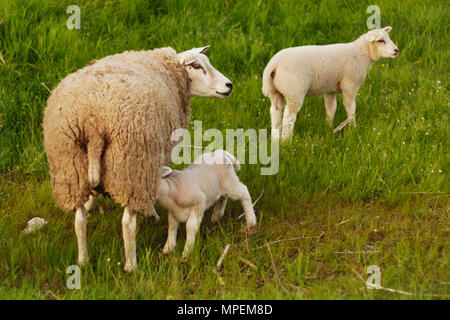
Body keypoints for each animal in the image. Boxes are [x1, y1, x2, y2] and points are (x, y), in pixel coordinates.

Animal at [42, 44, 234, 270]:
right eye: (197, 66)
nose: (229, 85)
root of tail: (93, 122)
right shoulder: (155, 159)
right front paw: (152, 212)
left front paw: (91, 204)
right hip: (132, 170)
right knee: (127, 223)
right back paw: (131, 264)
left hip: (71, 169)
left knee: (79, 220)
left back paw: (83, 259)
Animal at [262, 25, 400, 140]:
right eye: (381, 40)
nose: (396, 50)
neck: (362, 53)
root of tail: (273, 65)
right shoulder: (350, 85)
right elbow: (350, 108)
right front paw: (353, 128)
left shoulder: (330, 89)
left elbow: (331, 108)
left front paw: (328, 127)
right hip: (294, 91)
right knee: (288, 117)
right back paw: (287, 141)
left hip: (274, 92)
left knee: (275, 113)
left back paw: (276, 139)